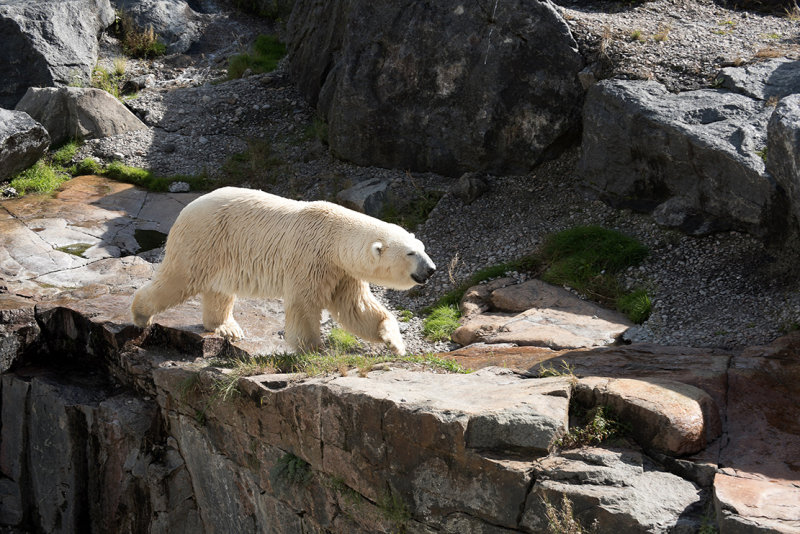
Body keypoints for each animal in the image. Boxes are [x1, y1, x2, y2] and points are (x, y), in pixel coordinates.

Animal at [130, 187, 438, 356]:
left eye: (422, 247)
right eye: (410, 253)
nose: (432, 269)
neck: (335, 237)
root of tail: (187, 208)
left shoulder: (342, 272)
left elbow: (356, 308)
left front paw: (395, 342)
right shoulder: (310, 257)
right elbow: (304, 303)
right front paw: (312, 348)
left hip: (222, 251)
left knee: (219, 288)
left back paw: (227, 327)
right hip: (203, 238)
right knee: (179, 278)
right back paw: (141, 313)